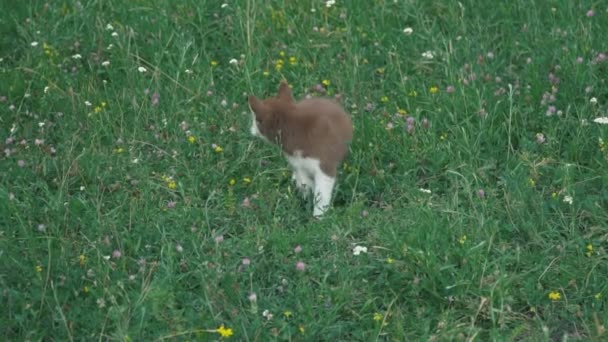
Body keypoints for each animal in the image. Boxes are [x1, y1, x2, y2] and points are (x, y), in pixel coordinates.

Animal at [247, 81, 352, 216]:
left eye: (255, 120)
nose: (250, 129)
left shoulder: (324, 163)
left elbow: (322, 193)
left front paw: (318, 216)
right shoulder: (298, 163)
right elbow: (304, 184)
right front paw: (305, 201)